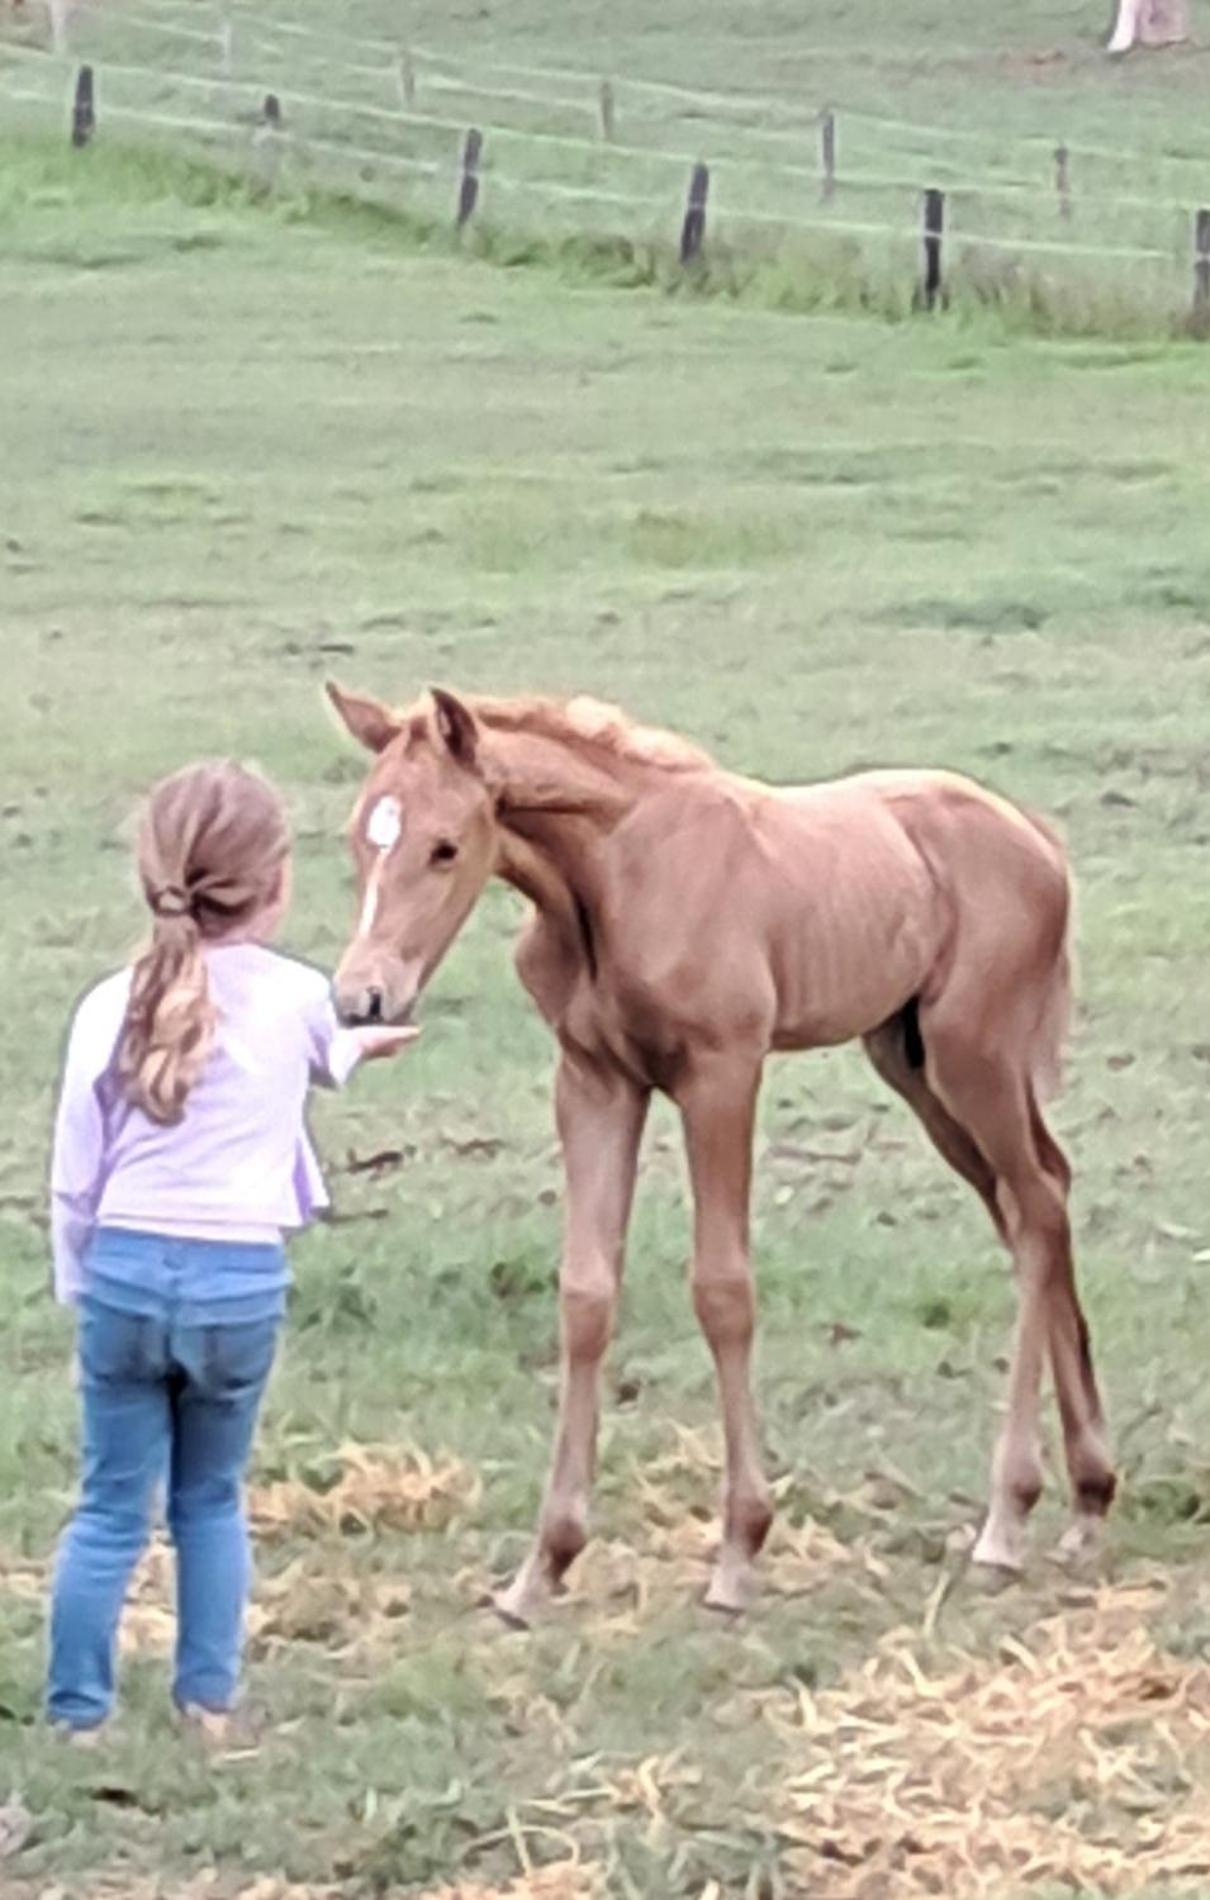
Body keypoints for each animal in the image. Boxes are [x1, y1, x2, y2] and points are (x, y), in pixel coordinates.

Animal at [326, 682, 1115, 1623]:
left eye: (445, 846)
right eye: (358, 835)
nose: (362, 998)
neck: (617, 876)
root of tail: (1037, 839)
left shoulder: (722, 1075)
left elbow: (723, 1290)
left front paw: (739, 1552)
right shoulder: (593, 1083)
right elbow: (585, 1296)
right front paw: (543, 1566)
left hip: (973, 1056)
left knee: (1034, 1208)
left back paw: (1008, 1518)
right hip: (914, 1062)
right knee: (1042, 1197)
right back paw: (1090, 1495)